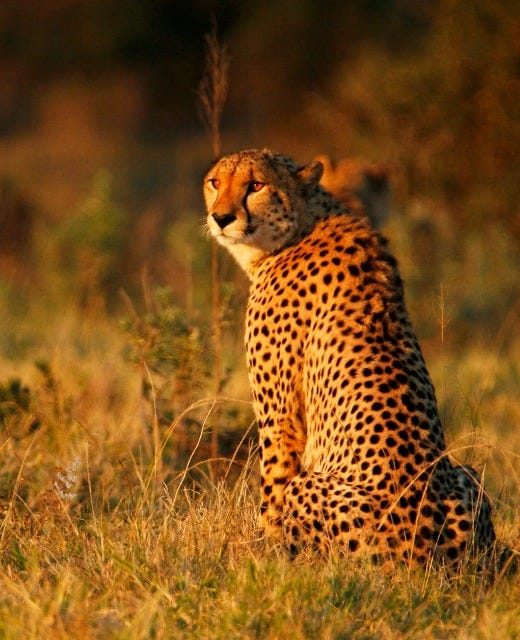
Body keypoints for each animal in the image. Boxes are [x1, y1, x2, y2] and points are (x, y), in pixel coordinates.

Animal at [203, 147, 497, 568]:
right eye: (215, 182)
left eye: (256, 185)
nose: (221, 217)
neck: (304, 225)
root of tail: (428, 554)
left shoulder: (280, 419)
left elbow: (272, 486)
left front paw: (262, 550)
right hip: (468, 476)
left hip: (311, 488)